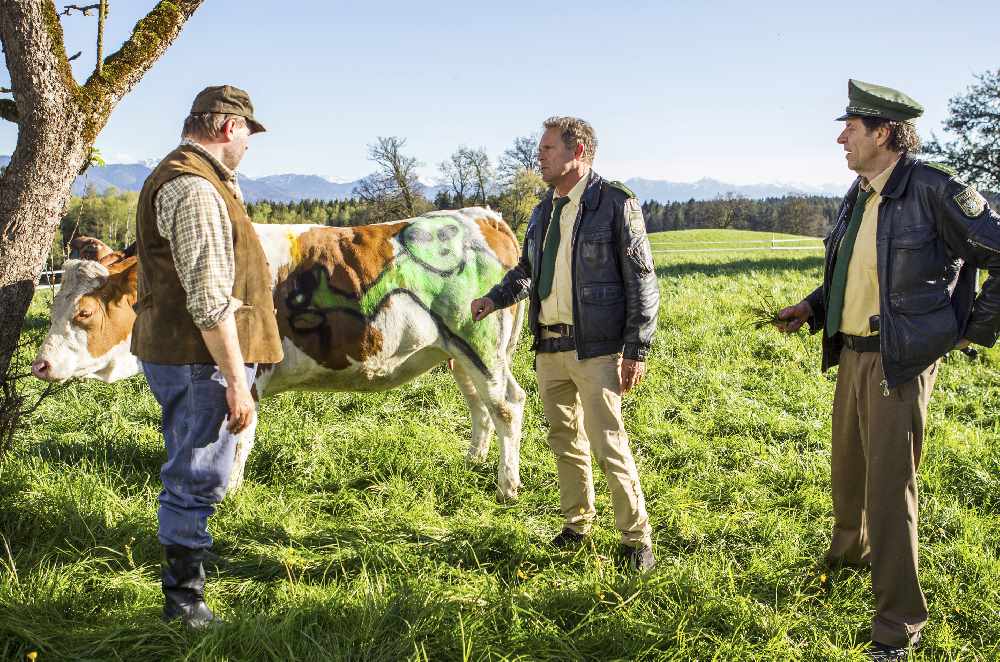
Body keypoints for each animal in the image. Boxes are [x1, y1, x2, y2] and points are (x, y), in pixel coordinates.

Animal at [34, 210, 528, 500]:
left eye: (84, 311)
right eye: (54, 302)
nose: (40, 364)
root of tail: (483, 215)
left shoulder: (242, 375)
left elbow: (235, 439)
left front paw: (227, 496)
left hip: (483, 346)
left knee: (507, 405)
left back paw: (507, 485)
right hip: (456, 353)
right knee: (479, 405)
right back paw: (474, 459)